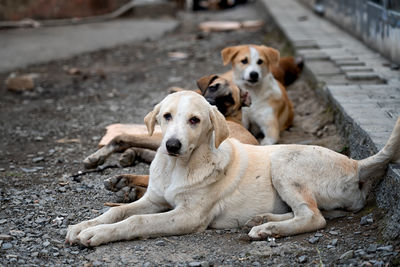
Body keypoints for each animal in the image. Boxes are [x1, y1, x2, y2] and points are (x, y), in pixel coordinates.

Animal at [66, 91, 400, 247]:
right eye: (166, 116)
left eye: (195, 120)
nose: (171, 145)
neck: (178, 167)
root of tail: (355, 163)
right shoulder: (154, 200)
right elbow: (119, 212)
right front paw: (85, 225)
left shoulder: (187, 216)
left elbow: (136, 222)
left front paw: (97, 234)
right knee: (316, 213)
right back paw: (262, 218)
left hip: (283, 164)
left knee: (314, 218)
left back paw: (268, 228)